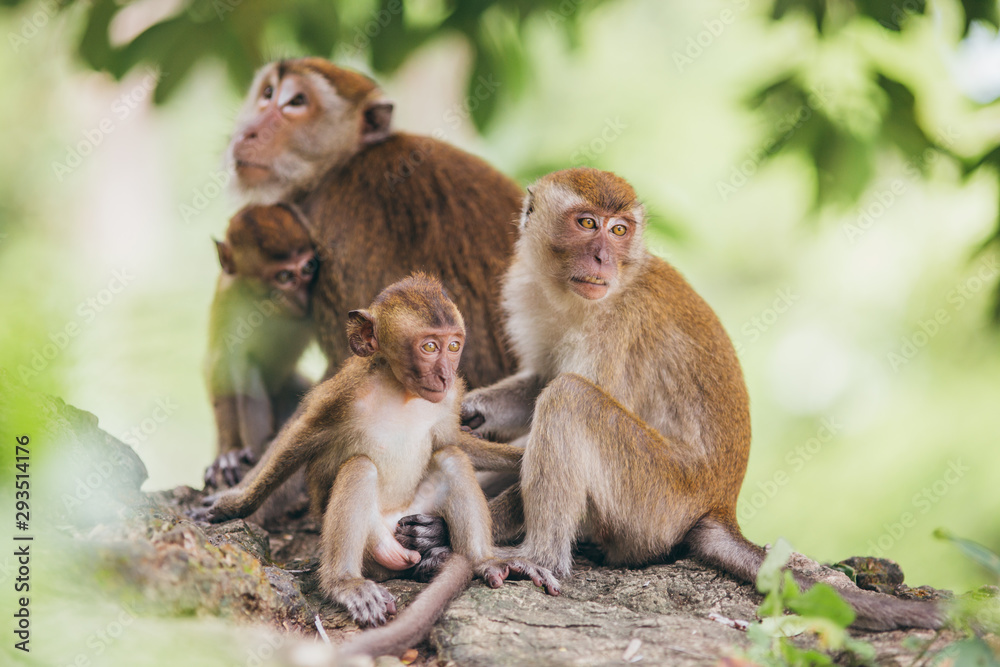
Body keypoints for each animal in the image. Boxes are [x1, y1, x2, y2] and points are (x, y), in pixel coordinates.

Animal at [199, 276, 560, 652]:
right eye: (429, 347)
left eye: (453, 345)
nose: (446, 376)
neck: (401, 391)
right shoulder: (343, 393)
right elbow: (298, 439)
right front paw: (230, 504)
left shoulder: (448, 400)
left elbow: (453, 442)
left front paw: (523, 459)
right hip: (373, 546)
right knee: (359, 467)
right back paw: (346, 583)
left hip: (413, 514)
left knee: (450, 458)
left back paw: (480, 560)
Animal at [207, 201, 320, 488]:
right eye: (284, 276)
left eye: (308, 268)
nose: (302, 297)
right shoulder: (228, 296)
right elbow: (221, 362)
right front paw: (229, 453)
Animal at [400, 167, 944, 632]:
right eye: (586, 223)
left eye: (619, 230)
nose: (602, 258)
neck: (578, 297)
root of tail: (719, 504)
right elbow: (537, 381)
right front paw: (470, 412)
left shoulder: (615, 328)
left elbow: (558, 392)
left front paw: (447, 531)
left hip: (655, 500)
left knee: (570, 400)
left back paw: (537, 558)